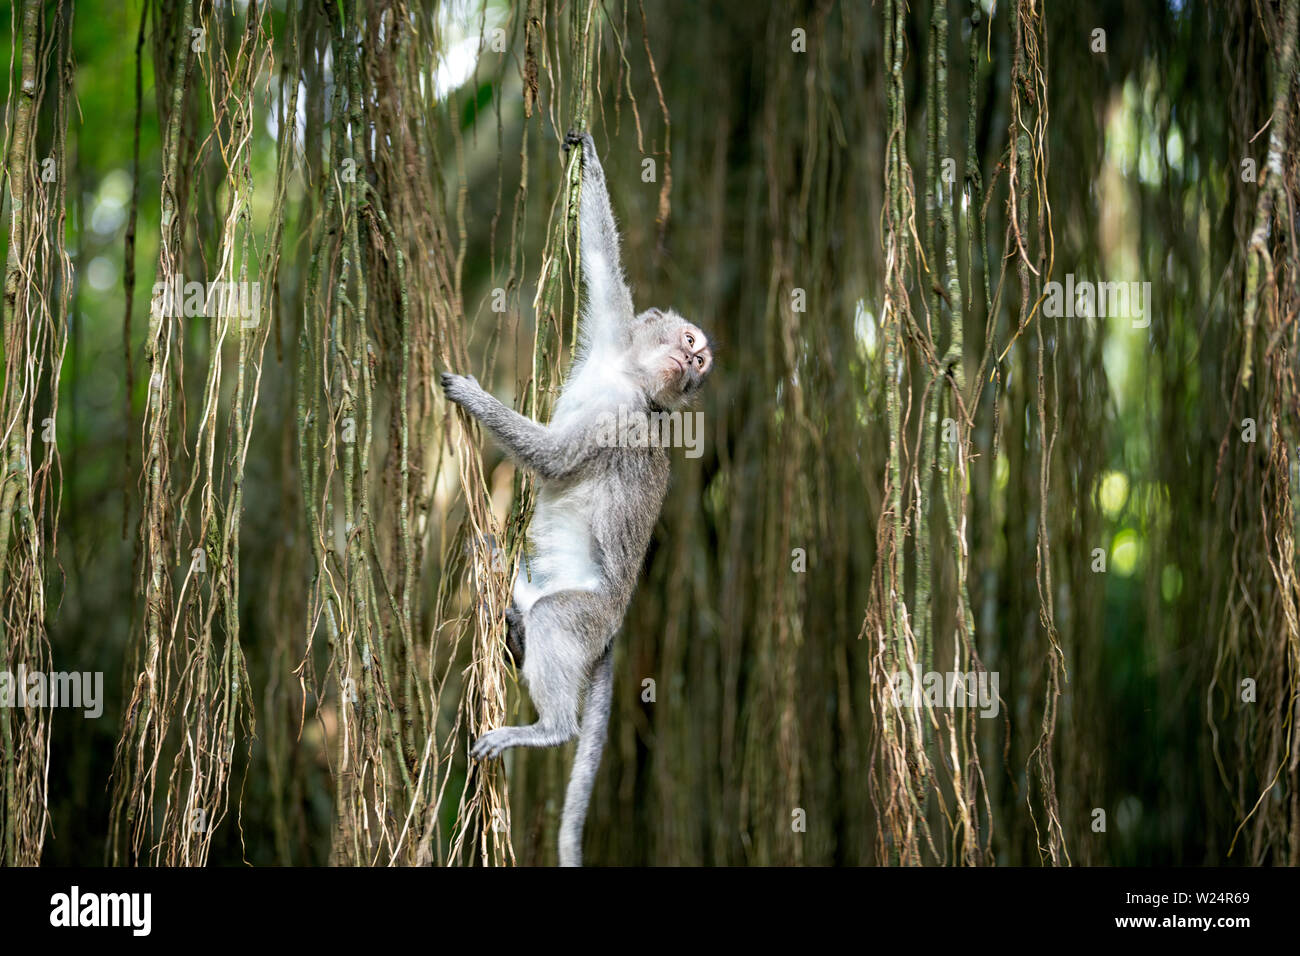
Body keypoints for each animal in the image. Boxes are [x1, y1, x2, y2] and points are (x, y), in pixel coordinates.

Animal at [444, 127, 712, 868]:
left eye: (699, 364)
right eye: (688, 343)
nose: (695, 362)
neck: (628, 378)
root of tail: (615, 626)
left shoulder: (622, 426)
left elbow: (556, 458)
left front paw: (475, 397)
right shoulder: (613, 333)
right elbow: (601, 259)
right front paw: (584, 156)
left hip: (589, 614)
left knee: (557, 624)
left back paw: (550, 729)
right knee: (522, 611)